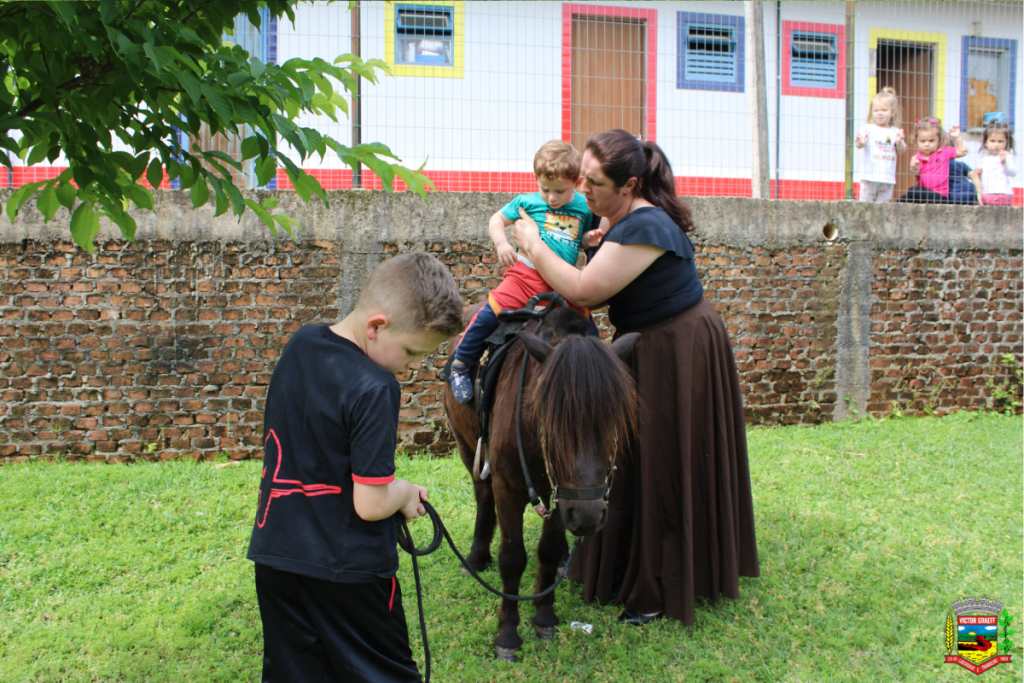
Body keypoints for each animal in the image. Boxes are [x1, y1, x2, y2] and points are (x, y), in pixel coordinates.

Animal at [443, 303, 639, 661]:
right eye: (549, 419)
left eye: (614, 421)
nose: (589, 516)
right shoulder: (508, 487)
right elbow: (512, 558)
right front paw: (507, 634)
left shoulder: (563, 496)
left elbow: (547, 552)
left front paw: (545, 616)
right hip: (465, 444)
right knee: (482, 496)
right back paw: (476, 557)